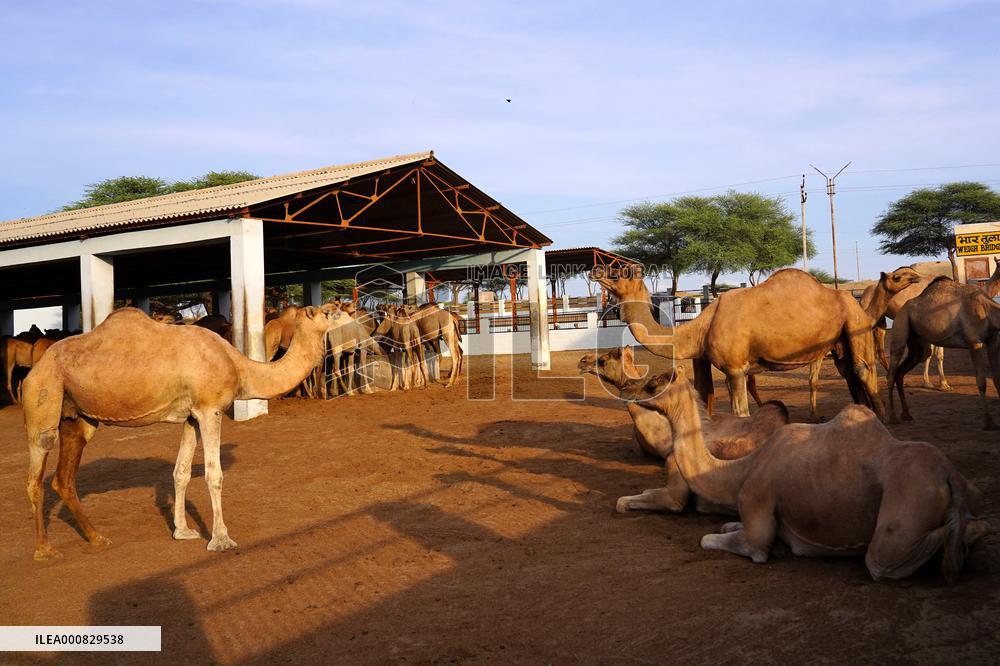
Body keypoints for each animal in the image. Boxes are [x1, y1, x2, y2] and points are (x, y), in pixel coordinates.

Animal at [21, 305, 344, 561]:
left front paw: (183, 531)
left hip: (78, 416)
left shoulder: (192, 415)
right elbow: (214, 474)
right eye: (333, 312)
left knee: (64, 478)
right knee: (36, 473)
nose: (350, 316)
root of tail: (35, 368)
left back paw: (97, 538)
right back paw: (45, 550)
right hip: (43, 398)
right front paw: (221, 539)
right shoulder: (210, 409)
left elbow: (181, 472)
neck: (239, 366)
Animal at [592, 266, 889, 421]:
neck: (699, 327)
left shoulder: (735, 369)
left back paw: (883, 418)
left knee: (863, 369)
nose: (596, 269)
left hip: (854, 323)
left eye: (620, 273)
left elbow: (740, 412)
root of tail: (853, 299)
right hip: (840, 340)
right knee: (849, 370)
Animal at [621, 366, 990, 582]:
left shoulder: (756, 505)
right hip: (966, 493)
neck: (740, 470)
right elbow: (726, 526)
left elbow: (718, 540)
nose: (628, 391)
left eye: (653, 383)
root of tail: (950, 479)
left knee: (881, 561)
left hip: (900, 520)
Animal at [887, 276, 1000, 430]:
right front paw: (988, 422)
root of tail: (902, 308)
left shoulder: (993, 339)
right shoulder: (974, 342)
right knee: (892, 370)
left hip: (918, 344)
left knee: (903, 370)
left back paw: (906, 414)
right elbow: (981, 382)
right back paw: (892, 417)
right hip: (900, 323)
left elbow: (997, 379)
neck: (987, 309)